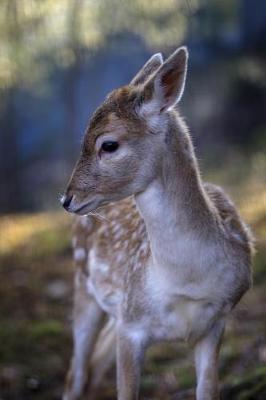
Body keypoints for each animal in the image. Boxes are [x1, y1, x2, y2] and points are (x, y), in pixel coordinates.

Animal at [60, 47, 254, 400]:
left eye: (109, 144)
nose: (66, 199)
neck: (186, 281)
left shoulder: (216, 323)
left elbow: (208, 390)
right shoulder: (130, 326)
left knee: (92, 369)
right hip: (83, 284)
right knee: (75, 374)